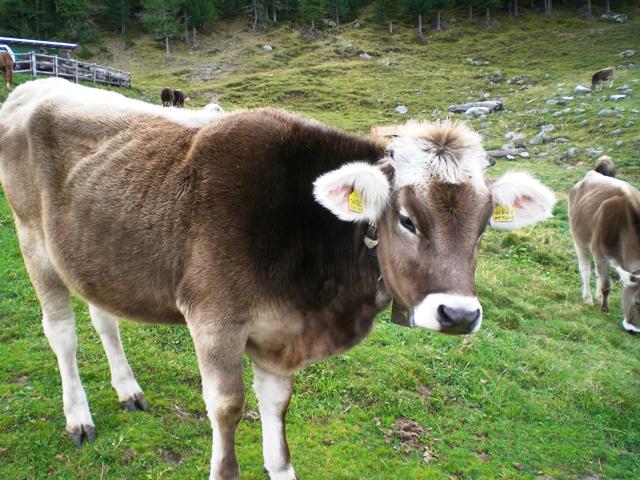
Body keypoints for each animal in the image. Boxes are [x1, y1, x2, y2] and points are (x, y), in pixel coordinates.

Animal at [0, 79, 556, 480]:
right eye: (407, 219)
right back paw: (79, 417)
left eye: (484, 225)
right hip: (33, 239)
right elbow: (227, 411)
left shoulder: (280, 334)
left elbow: (277, 413)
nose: (458, 314)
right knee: (62, 333)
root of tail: (34, 85)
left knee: (104, 318)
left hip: (92, 253)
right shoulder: (214, 318)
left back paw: (127, 389)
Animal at [568, 158, 640, 334]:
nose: (633, 330)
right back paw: (588, 298)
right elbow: (606, 285)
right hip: (579, 241)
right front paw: (604, 309)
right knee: (586, 271)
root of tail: (593, 174)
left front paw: (602, 300)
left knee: (597, 275)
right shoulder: (599, 254)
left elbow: (603, 280)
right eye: (637, 301)